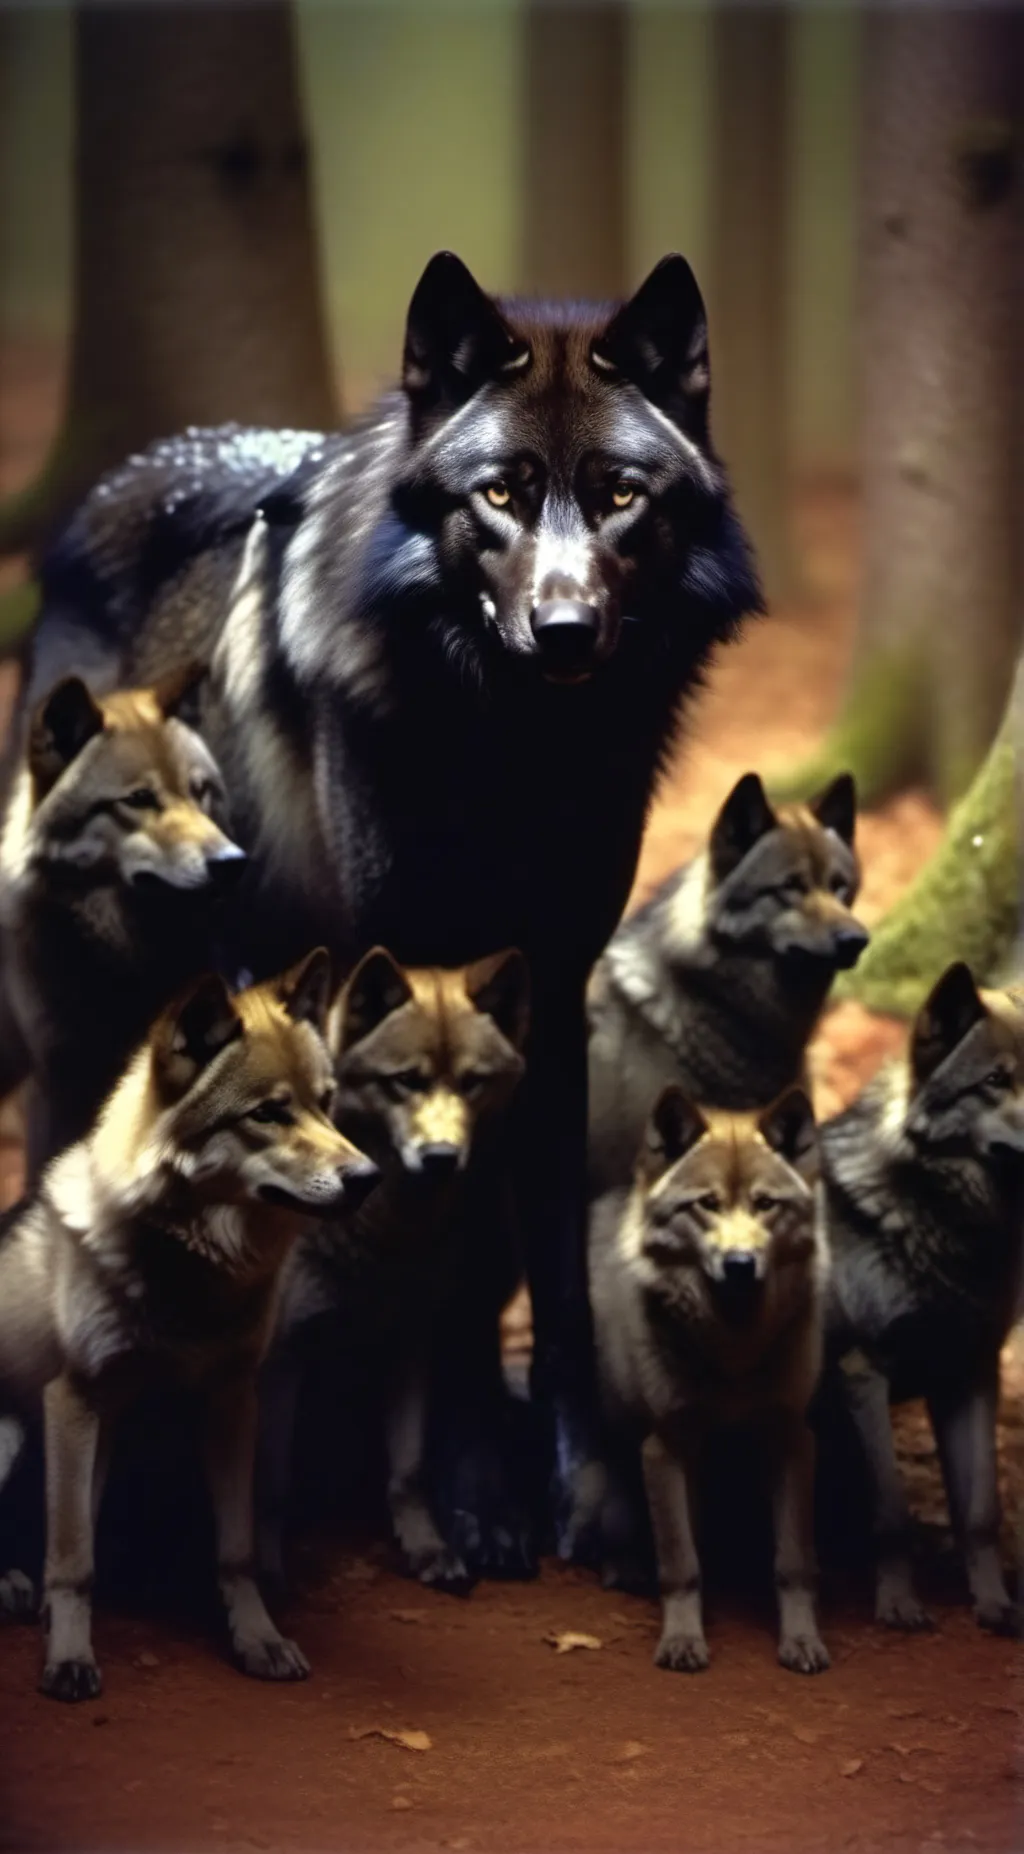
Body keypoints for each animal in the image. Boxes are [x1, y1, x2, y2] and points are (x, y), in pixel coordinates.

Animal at [0, 951, 379, 1700]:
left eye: (325, 1103)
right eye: (269, 1114)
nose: (368, 1175)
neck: (191, 1271)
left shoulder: (231, 1399)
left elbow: (234, 1549)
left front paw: (258, 1639)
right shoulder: (74, 1398)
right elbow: (73, 1557)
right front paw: (69, 1657)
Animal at [258, 943, 529, 1592]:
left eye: (472, 1083)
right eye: (406, 1081)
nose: (442, 1158)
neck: (382, 1230)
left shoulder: (410, 1339)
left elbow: (408, 1470)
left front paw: (427, 1548)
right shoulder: (285, 1352)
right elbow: (272, 1484)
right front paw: (267, 1571)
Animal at [589, 1085, 830, 1673]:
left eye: (765, 1204)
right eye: (706, 1204)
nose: (740, 1263)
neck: (734, 1353)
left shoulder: (791, 1439)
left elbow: (793, 1561)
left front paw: (802, 1640)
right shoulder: (665, 1445)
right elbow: (680, 1563)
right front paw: (681, 1640)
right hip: (624, 1425)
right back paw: (624, 1565)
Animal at [823, 961, 1024, 1637]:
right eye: (995, 1081)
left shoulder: (971, 1374)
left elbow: (981, 1511)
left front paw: (992, 1604)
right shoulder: (863, 1372)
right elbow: (891, 1512)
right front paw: (899, 1605)